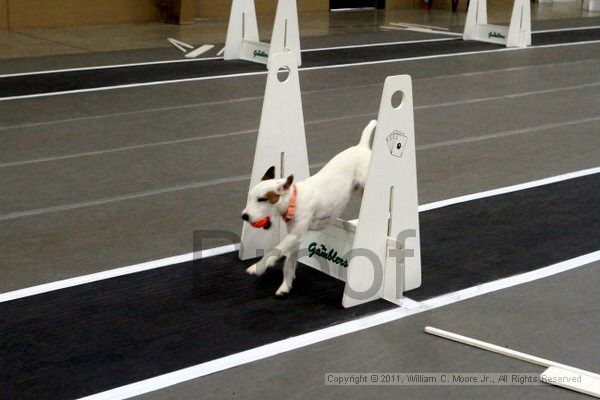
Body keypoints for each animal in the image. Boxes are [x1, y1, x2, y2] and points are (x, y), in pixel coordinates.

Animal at [241, 119, 378, 294]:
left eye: (262, 199)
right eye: (250, 197)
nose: (244, 215)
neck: (294, 199)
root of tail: (361, 146)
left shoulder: (294, 235)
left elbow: (276, 249)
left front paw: (258, 266)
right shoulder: (294, 237)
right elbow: (289, 264)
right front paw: (285, 286)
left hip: (365, 184)